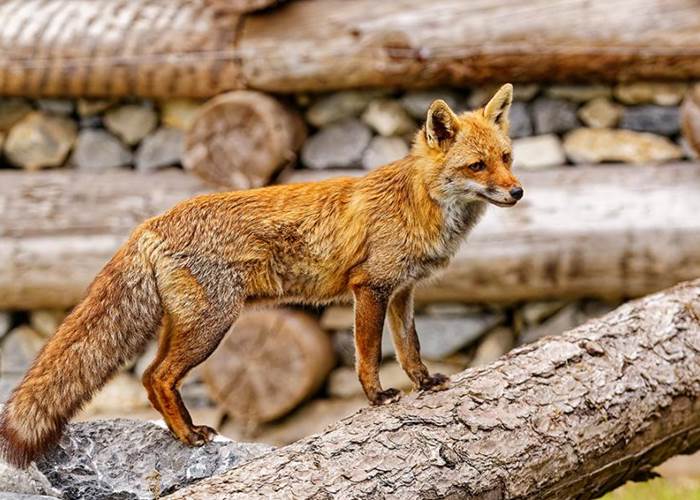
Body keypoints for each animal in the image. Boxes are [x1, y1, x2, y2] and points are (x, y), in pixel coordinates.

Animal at [0, 84, 522, 468]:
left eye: (507, 158)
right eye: (476, 166)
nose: (517, 193)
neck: (419, 203)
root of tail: (150, 222)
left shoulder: (402, 291)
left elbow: (410, 347)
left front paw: (426, 382)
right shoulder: (370, 287)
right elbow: (369, 355)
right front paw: (377, 397)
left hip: (186, 326)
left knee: (148, 377)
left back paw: (182, 432)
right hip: (211, 327)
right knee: (160, 377)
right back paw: (189, 436)